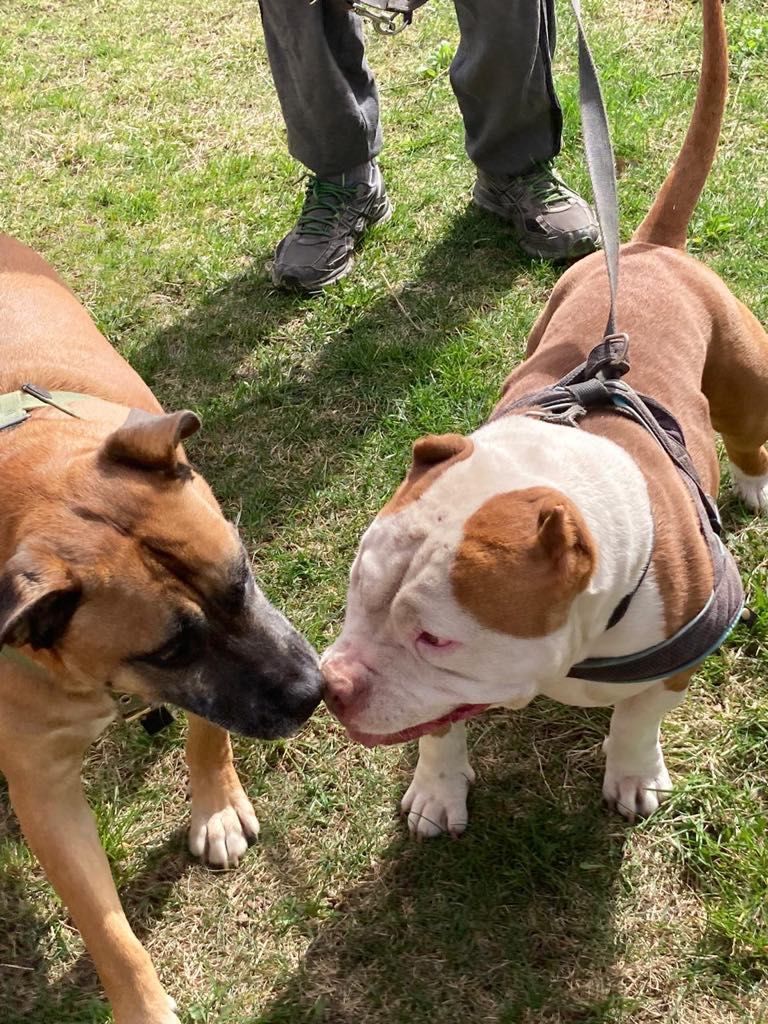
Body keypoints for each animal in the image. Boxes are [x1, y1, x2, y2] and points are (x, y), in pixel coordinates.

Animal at [0, 234, 325, 1024]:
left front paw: (215, 805)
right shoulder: (43, 789)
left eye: (241, 574)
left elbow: (208, 730)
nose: (313, 692)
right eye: (173, 648)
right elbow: (107, 928)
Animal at [321, 0, 765, 831]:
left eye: (437, 639)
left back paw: (755, 486)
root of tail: (647, 248)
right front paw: (437, 790)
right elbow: (440, 728)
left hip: (744, 371)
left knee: (751, 434)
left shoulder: (682, 657)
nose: (331, 685)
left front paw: (634, 774)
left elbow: (637, 716)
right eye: (357, 588)